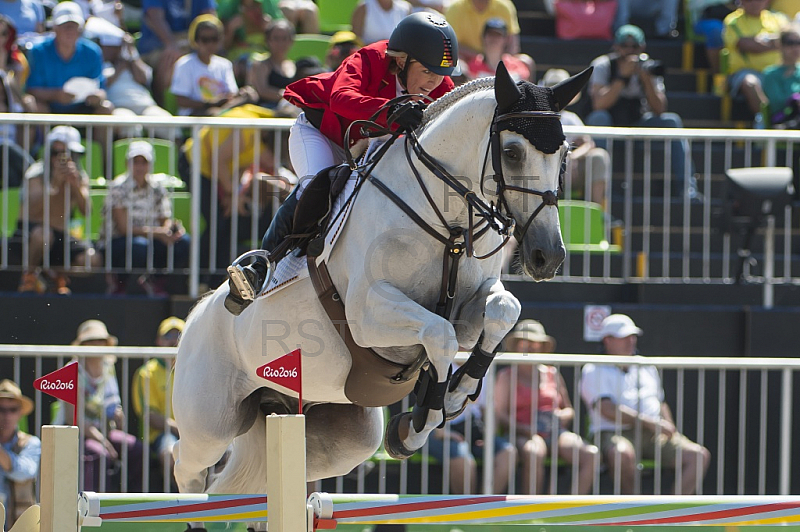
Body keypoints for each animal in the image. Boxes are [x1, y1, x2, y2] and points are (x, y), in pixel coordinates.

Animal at [172, 63, 592, 498]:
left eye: (564, 153)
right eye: (511, 152)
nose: (548, 257)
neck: (450, 223)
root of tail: (196, 313)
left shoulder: (470, 305)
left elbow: (503, 311)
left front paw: (455, 393)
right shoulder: (368, 314)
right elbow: (439, 335)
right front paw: (419, 424)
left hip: (332, 436)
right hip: (210, 424)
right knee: (189, 468)